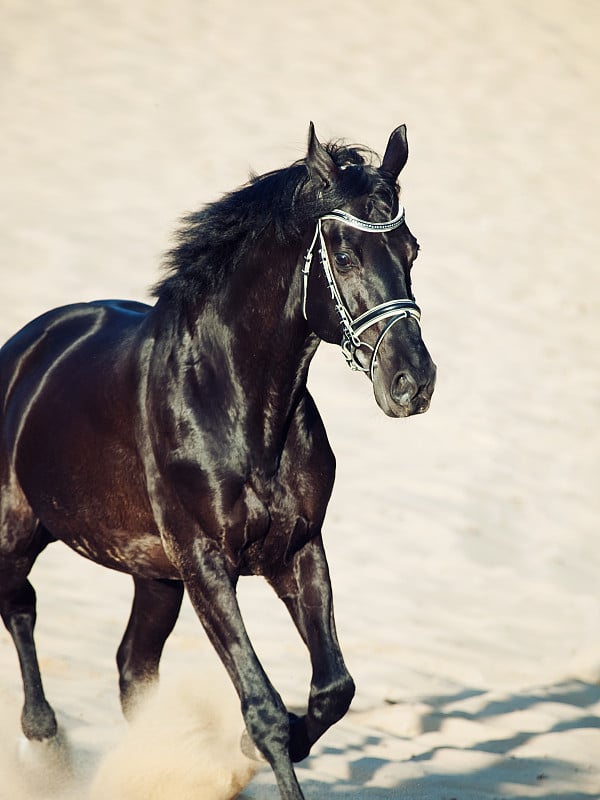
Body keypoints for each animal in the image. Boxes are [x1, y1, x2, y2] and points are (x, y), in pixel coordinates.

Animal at [2, 122, 438, 796]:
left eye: (411, 250)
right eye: (343, 256)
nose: (412, 383)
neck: (238, 408)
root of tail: (26, 349)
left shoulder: (297, 549)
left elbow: (332, 690)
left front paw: (239, 751)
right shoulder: (206, 563)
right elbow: (263, 710)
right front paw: (244, 750)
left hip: (154, 576)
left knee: (131, 666)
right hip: (18, 528)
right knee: (19, 603)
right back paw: (47, 744)